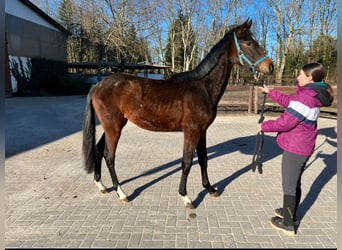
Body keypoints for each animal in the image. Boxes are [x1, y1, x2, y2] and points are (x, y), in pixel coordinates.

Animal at [81, 18, 274, 208]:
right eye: (248, 42)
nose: (270, 66)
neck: (202, 87)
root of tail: (98, 85)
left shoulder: (202, 131)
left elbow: (203, 159)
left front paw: (210, 188)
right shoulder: (191, 131)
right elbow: (187, 162)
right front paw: (186, 197)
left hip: (112, 126)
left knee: (99, 149)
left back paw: (101, 185)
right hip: (113, 127)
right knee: (109, 156)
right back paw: (121, 193)